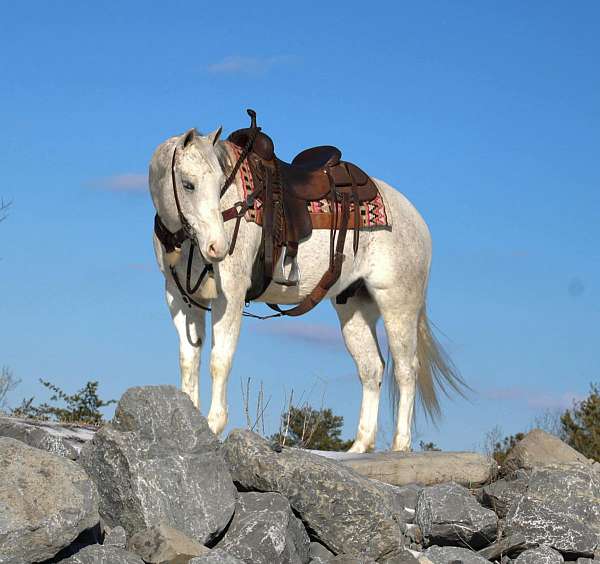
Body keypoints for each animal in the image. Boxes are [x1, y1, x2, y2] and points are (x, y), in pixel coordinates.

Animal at [148, 125, 462, 452]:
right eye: (188, 184)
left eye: (222, 183)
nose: (217, 247)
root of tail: (416, 219)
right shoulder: (181, 298)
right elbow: (189, 361)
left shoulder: (230, 294)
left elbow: (219, 360)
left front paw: (213, 425)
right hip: (354, 307)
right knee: (371, 368)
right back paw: (359, 447)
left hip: (398, 304)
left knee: (406, 368)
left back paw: (400, 446)